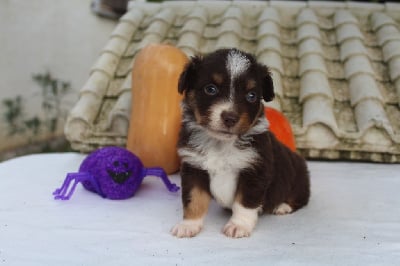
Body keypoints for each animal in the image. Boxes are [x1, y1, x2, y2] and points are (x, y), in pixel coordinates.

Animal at [170, 48, 310, 239]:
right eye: (210, 89)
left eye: (251, 95)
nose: (230, 118)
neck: (220, 144)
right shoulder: (194, 167)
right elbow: (194, 199)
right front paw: (188, 225)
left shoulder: (255, 170)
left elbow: (244, 203)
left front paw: (238, 226)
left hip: (299, 180)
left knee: (300, 198)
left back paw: (282, 206)